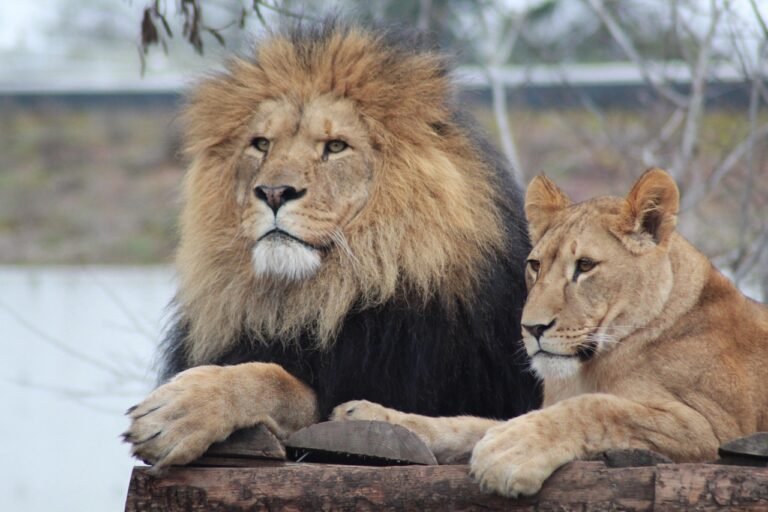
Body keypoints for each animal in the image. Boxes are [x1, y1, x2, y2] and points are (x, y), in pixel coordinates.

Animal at [123, 21, 541, 470]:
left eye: (336, 146)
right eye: (261, 144)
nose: (273, 192)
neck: (320, 297)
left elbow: (282, 383)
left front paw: (178, 410)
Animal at [333, 168, 768, 497]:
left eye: (586, 266)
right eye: (535, 265)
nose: (532, 328)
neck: (590, 366)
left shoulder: (710, 429)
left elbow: (601, 407)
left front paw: (511, 452)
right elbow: (464, 424)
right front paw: (369, 418)